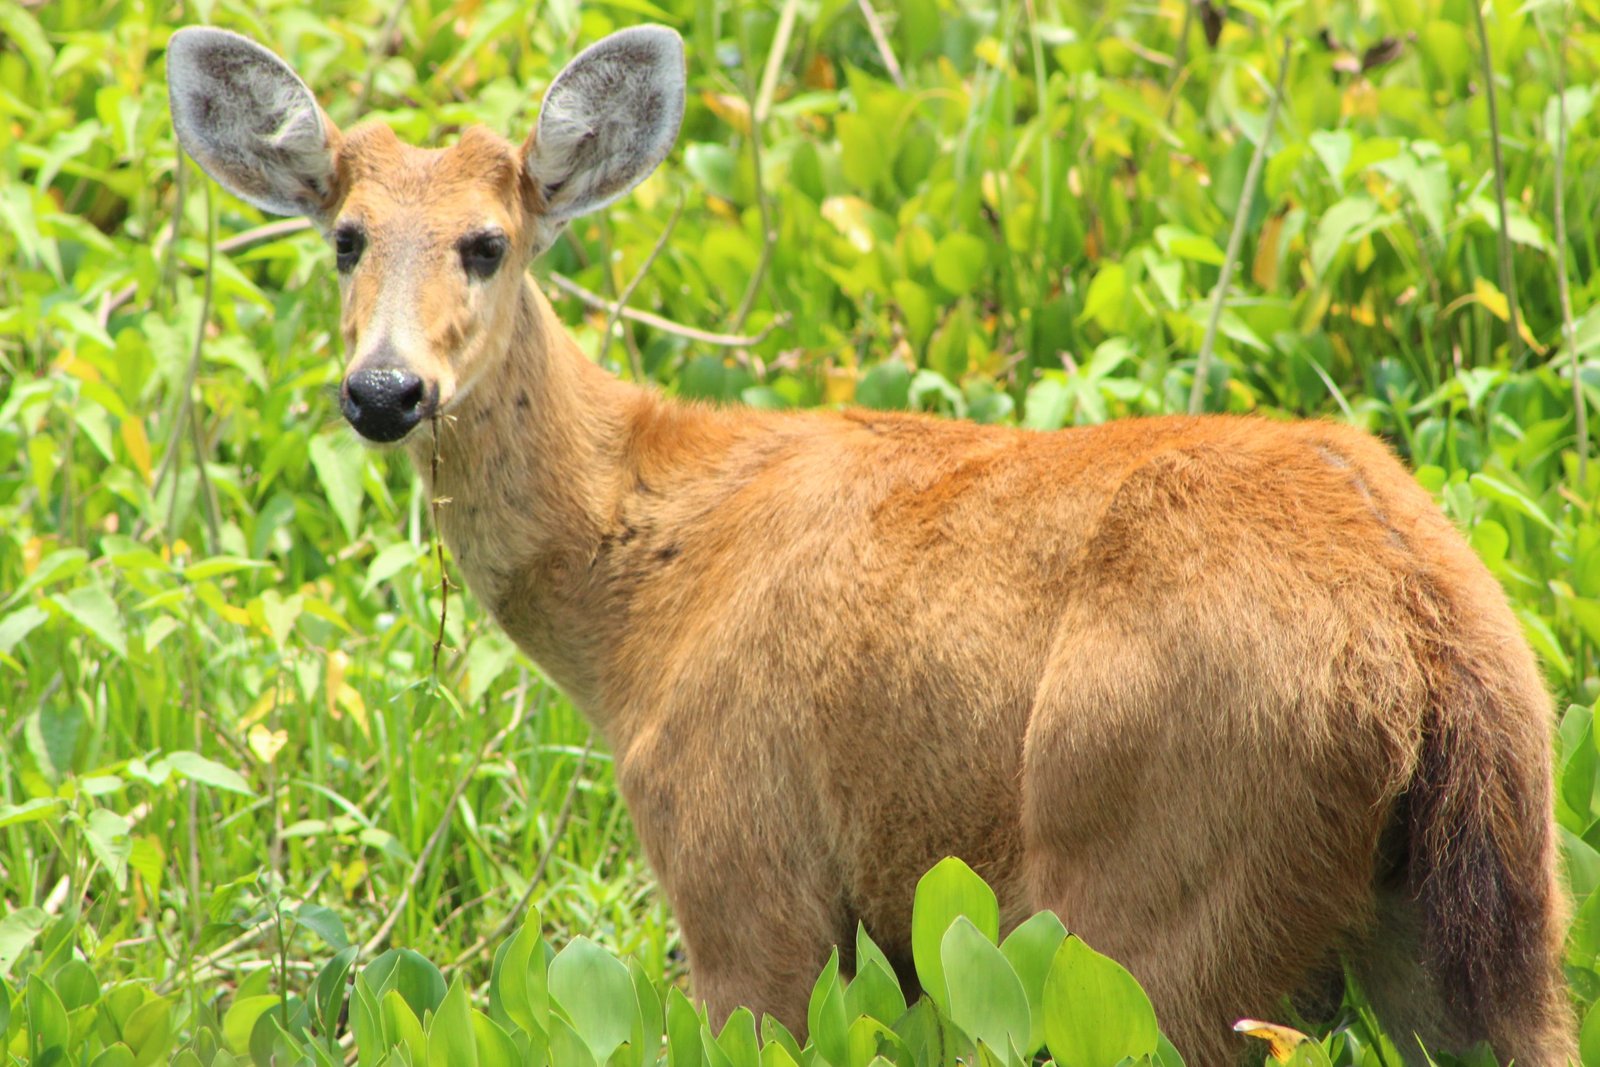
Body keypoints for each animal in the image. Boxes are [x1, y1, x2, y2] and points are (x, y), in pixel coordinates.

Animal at [165, 27, 1574, 1067]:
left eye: (486, 242)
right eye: (344, 237)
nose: (384, 387)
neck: (635, 599)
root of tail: (1425, 647)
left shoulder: (742, 869)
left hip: (1160, 878)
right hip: (1487, 928)